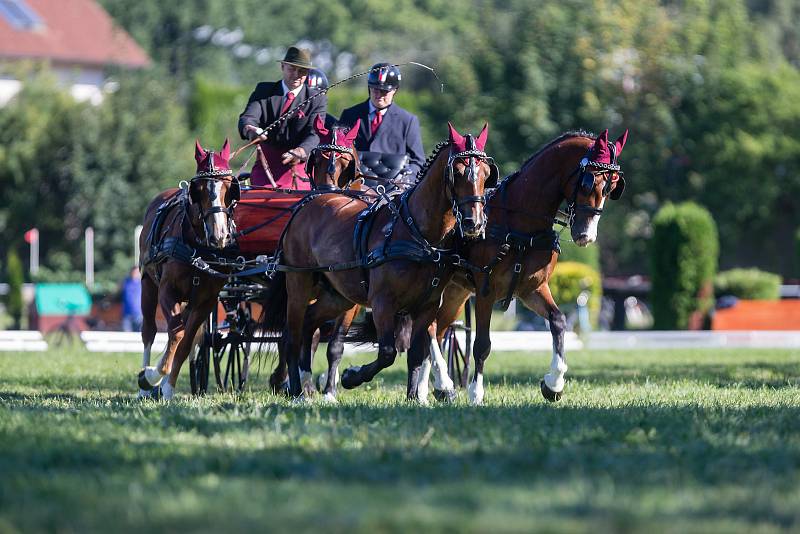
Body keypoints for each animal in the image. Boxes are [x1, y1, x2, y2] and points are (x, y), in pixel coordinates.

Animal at [138, 140, 239, 400]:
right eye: (199, 189)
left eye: (228, 187)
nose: (219, 235)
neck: (198, 247)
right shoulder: (168, 290)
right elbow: (176, 335)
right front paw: (152, 377)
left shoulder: (205, 301)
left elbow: (185, 343)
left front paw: (168, 387)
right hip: (147, 283)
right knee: (149, 331)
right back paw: (144, 383)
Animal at [256, 124, 496, 402]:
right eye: (457, 173)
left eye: (487, 173)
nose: (473, 223)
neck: (418, 233)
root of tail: (309, 201)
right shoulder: (383, 302)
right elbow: (388, 352)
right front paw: (351, 377)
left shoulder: (428, 305)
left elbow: (416, 353)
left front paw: (414, 397)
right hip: (299, 282)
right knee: (292, 335)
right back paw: (296, 389)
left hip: (338, 296)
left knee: (309, 324)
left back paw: (306, 384)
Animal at [424, 130, 624, 406]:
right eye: (587, 183)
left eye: (613, 186)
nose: (586, 235)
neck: (520, 223)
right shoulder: (486, 292)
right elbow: (482, 345)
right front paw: (476, 393)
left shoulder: (532, 289)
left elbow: (559, 321)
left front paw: (553, 383)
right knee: (430, 327)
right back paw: (441, 382)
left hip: (457, 291)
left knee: (438, 328)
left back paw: (432, 387)